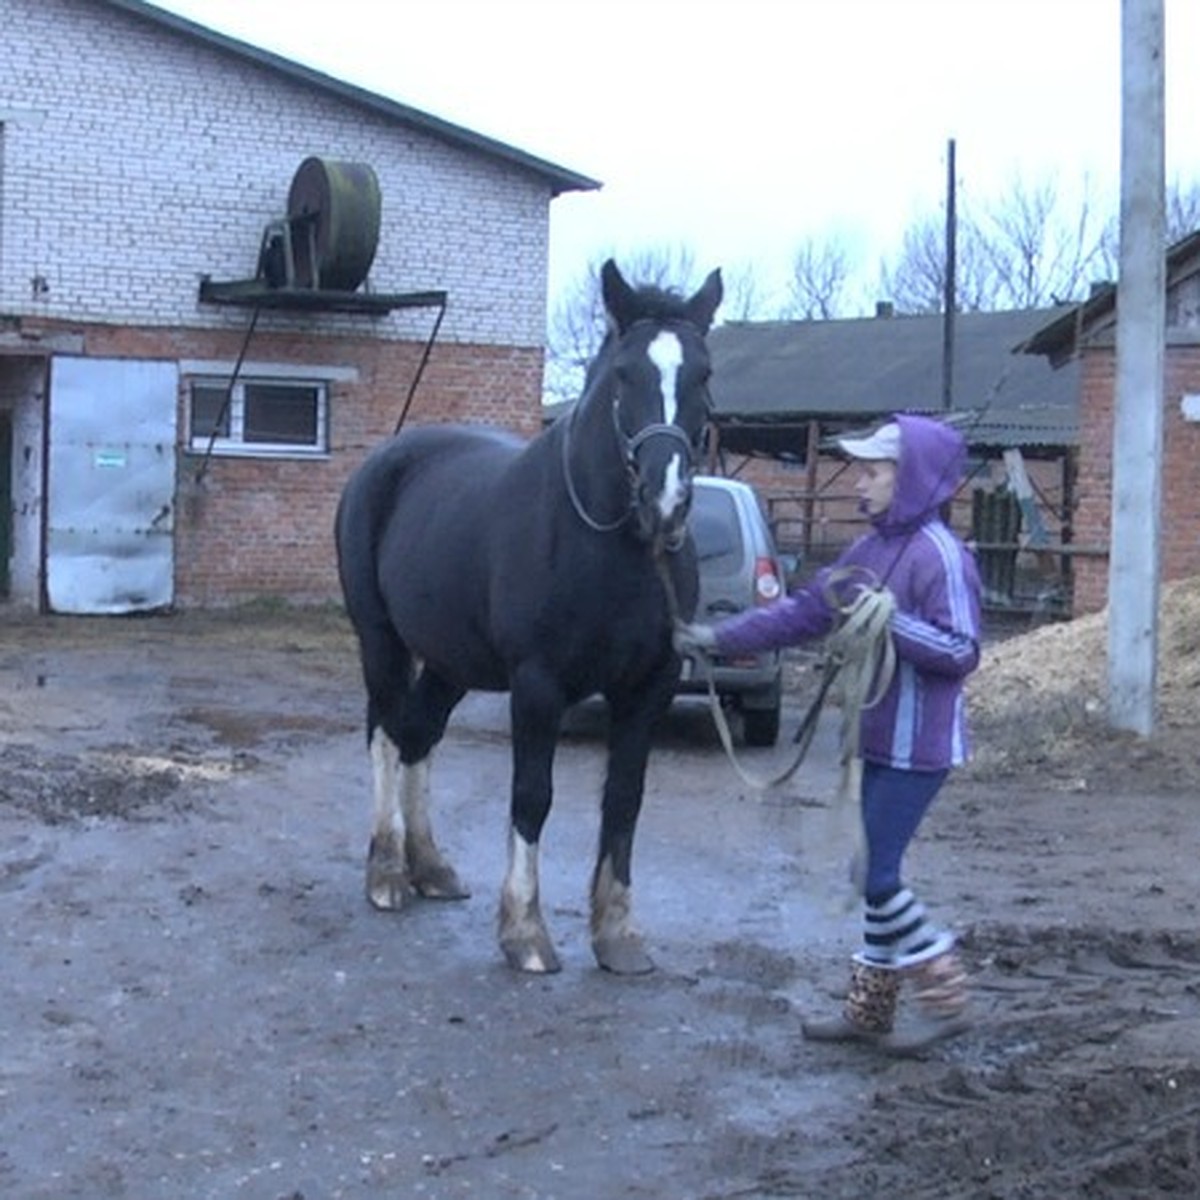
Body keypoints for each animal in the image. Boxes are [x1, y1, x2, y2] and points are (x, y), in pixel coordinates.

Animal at [333, 262, 720, 974]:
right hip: (380, 642)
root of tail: (381, 463)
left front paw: (618, 934)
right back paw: (388, 873)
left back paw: (431, 867)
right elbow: (532, 796)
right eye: (625, 374)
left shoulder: (648, 686)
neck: (610, 546)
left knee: (418, 735)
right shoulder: (538, 684)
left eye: (703, 374)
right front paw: (525, 932)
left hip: (451, 662)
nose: (666, 499)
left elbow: (625, 799)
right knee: (385, 735)